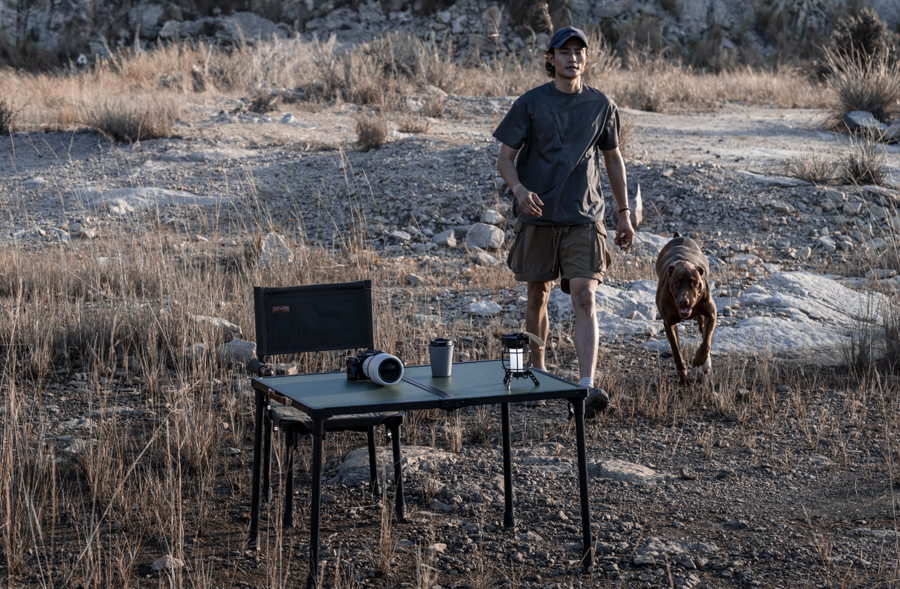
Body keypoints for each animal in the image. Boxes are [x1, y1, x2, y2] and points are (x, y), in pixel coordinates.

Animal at [652, 234, 716, 386]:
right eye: (676, 282)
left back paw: (705, 364)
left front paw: (699, 360)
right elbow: (676, 351)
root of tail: (678, 236)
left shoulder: (711, 315)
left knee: (703, 330)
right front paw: (683, 378)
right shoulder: (669, 323)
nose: (683, 302)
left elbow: (706, 344)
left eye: (695, 283)